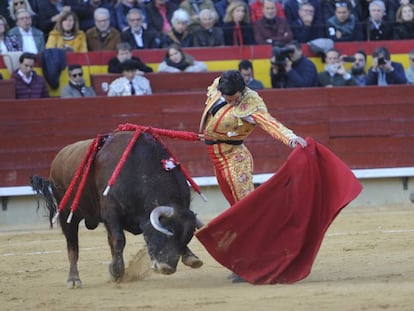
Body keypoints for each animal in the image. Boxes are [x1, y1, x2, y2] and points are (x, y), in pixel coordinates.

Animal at [41, 130, 203, 288]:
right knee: (72, 244)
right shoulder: (110, 212)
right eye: (165, 234)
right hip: (66, 214)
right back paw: (74, 279)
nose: (166, 268)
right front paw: (116, 271)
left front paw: (191, 257)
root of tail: (59, 157)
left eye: (187, 238)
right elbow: (119, 240)